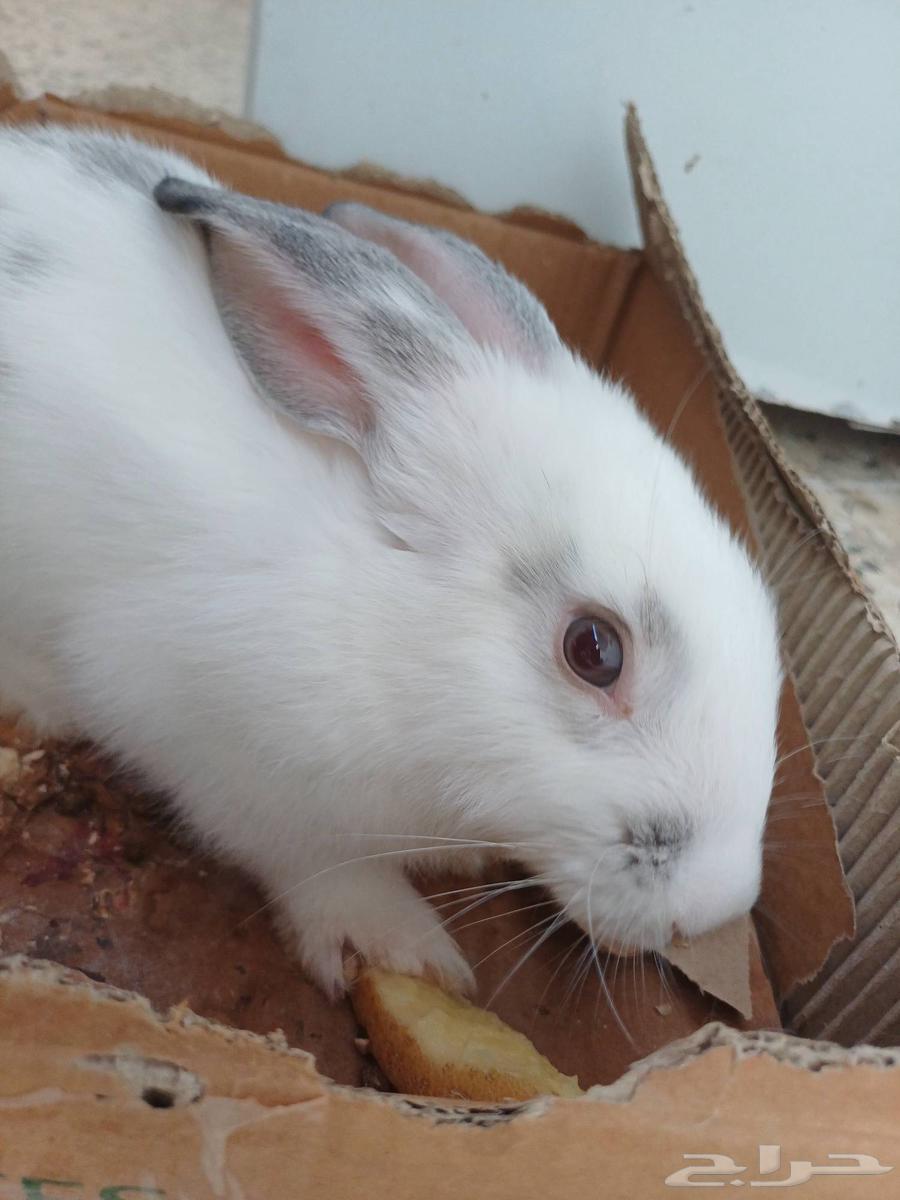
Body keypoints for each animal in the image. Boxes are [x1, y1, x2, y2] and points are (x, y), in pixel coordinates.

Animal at [0, 125, 782, 999]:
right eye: (594, 650)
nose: (715, 906)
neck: (386, 616)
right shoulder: (218, 753)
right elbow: (318, 864)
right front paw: (401, 948)